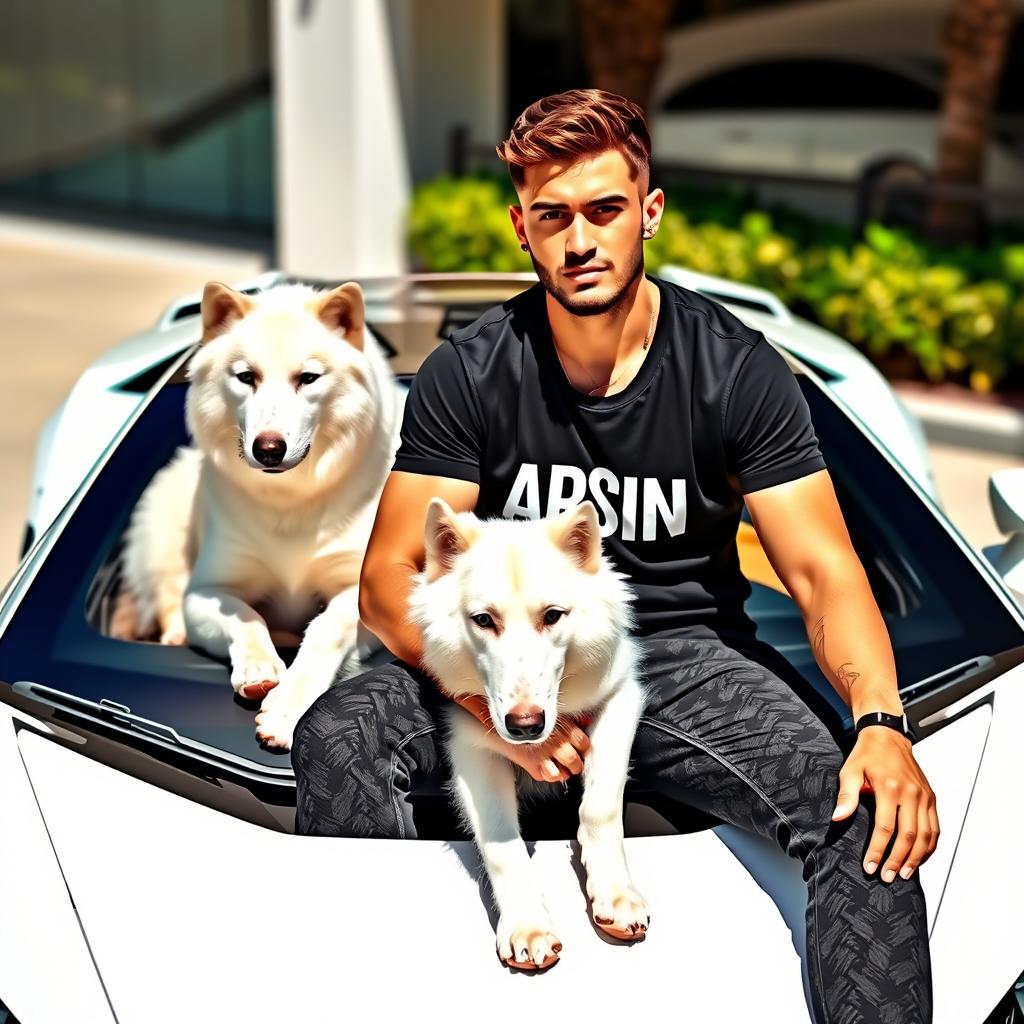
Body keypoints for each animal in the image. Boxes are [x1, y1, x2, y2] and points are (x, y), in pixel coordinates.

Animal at [112, 278, 399, 745]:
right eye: (247, 377)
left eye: (308, 378)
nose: (268, 448)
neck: (291, 501)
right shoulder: (208, 591)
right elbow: (246, 617)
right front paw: (260, 668)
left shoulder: (361, 595)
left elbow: (326, 629)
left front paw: (288, 707)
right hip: (163, 525)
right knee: (166, 595)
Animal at [405, 499, 647, 970]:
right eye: (483, 620)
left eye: (552, 615)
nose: (525, 726)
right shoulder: (472, 746)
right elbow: (502, 844)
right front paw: (527, 926)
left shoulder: (621, 695)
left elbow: (601, 808)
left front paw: (615, 894)